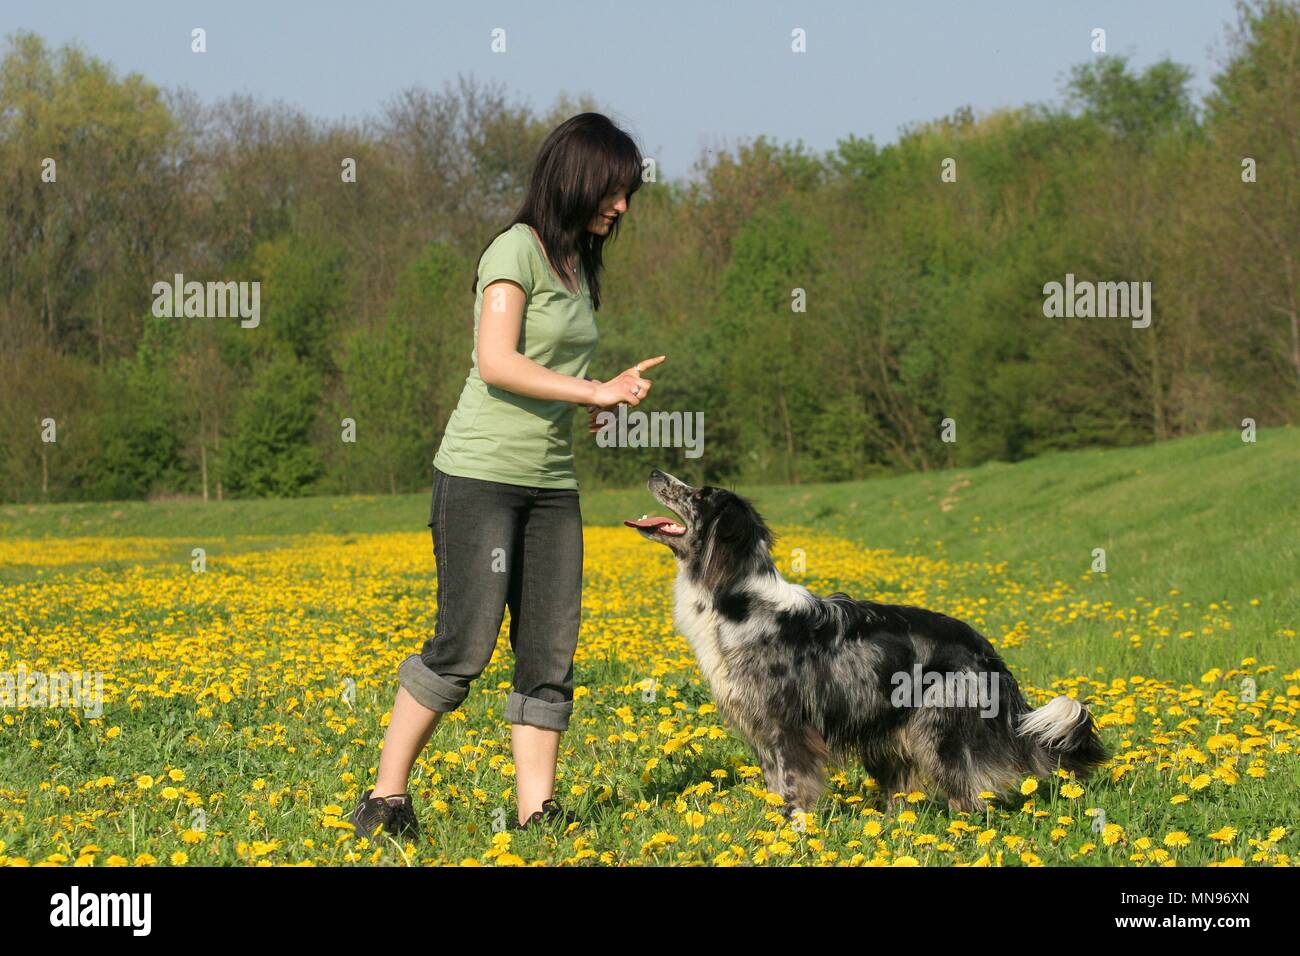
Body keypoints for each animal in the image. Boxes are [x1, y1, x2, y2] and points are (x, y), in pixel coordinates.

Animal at [629, 470, 1107, 816]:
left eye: (699, 495)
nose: (653, 471)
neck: (736, 599)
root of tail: (988, 653)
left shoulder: (790, 726)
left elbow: (793, 790)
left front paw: (794, 835)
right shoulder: (763, 729)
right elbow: (774, 788)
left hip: (937, 729)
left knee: (969, 797)